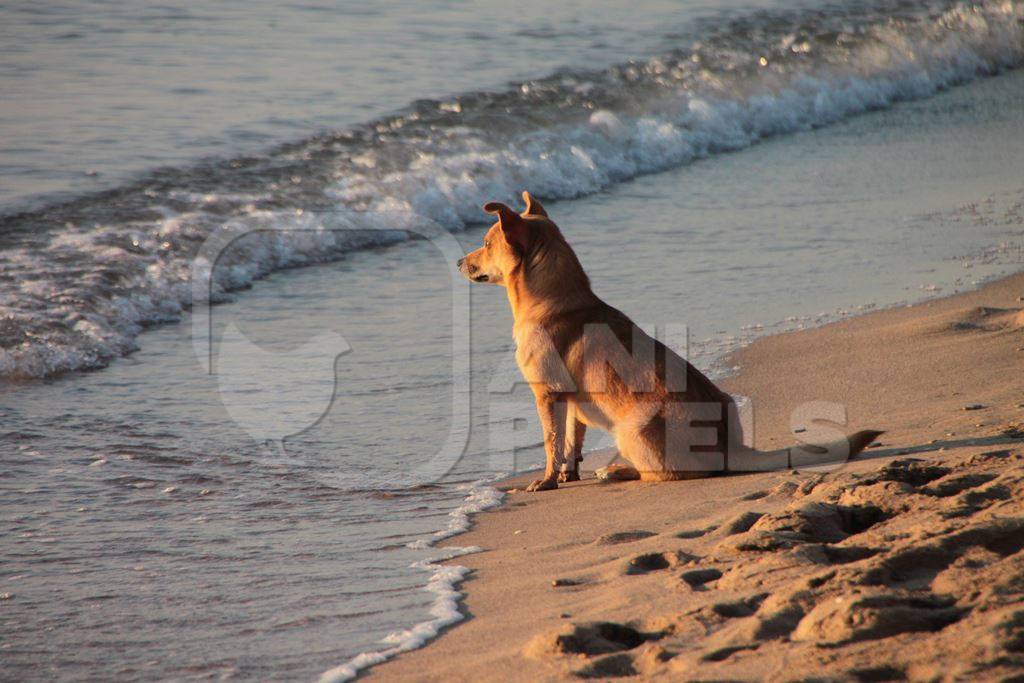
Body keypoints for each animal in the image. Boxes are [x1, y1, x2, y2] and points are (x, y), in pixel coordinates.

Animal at [458, 192, 880, 491]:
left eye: (486, 243)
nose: (460, 262)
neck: (557, 299)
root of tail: (730, 447)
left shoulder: (547, 395)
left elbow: (551, 442)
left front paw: (546, 480)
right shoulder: (571, 401)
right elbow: (572, 441)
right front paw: (567, 475)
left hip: (629, 429)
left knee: (661, 475)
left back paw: (617, 471)